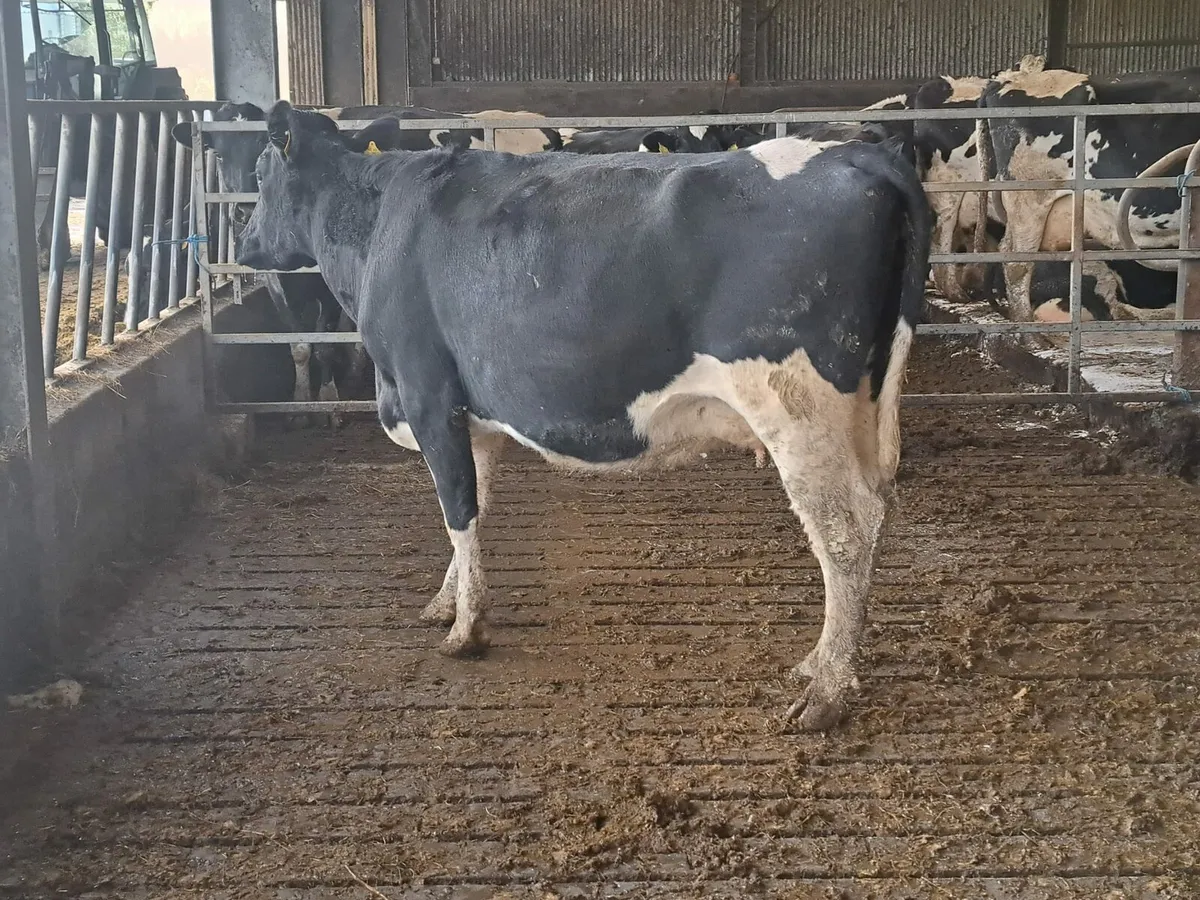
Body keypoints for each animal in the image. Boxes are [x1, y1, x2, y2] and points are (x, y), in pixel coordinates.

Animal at [234, 100, 933, 731]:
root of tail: (859, 153)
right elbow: (475, 503)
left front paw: (466, 631)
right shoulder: (472, 414)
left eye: (262, 170)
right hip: (860, 407)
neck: (375, 223)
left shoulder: (426, 392)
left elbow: (456, 509)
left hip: (797, 404)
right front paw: (446, 601)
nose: (242, 244)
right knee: (871, 512)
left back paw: (826, 689)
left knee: (844, 533)